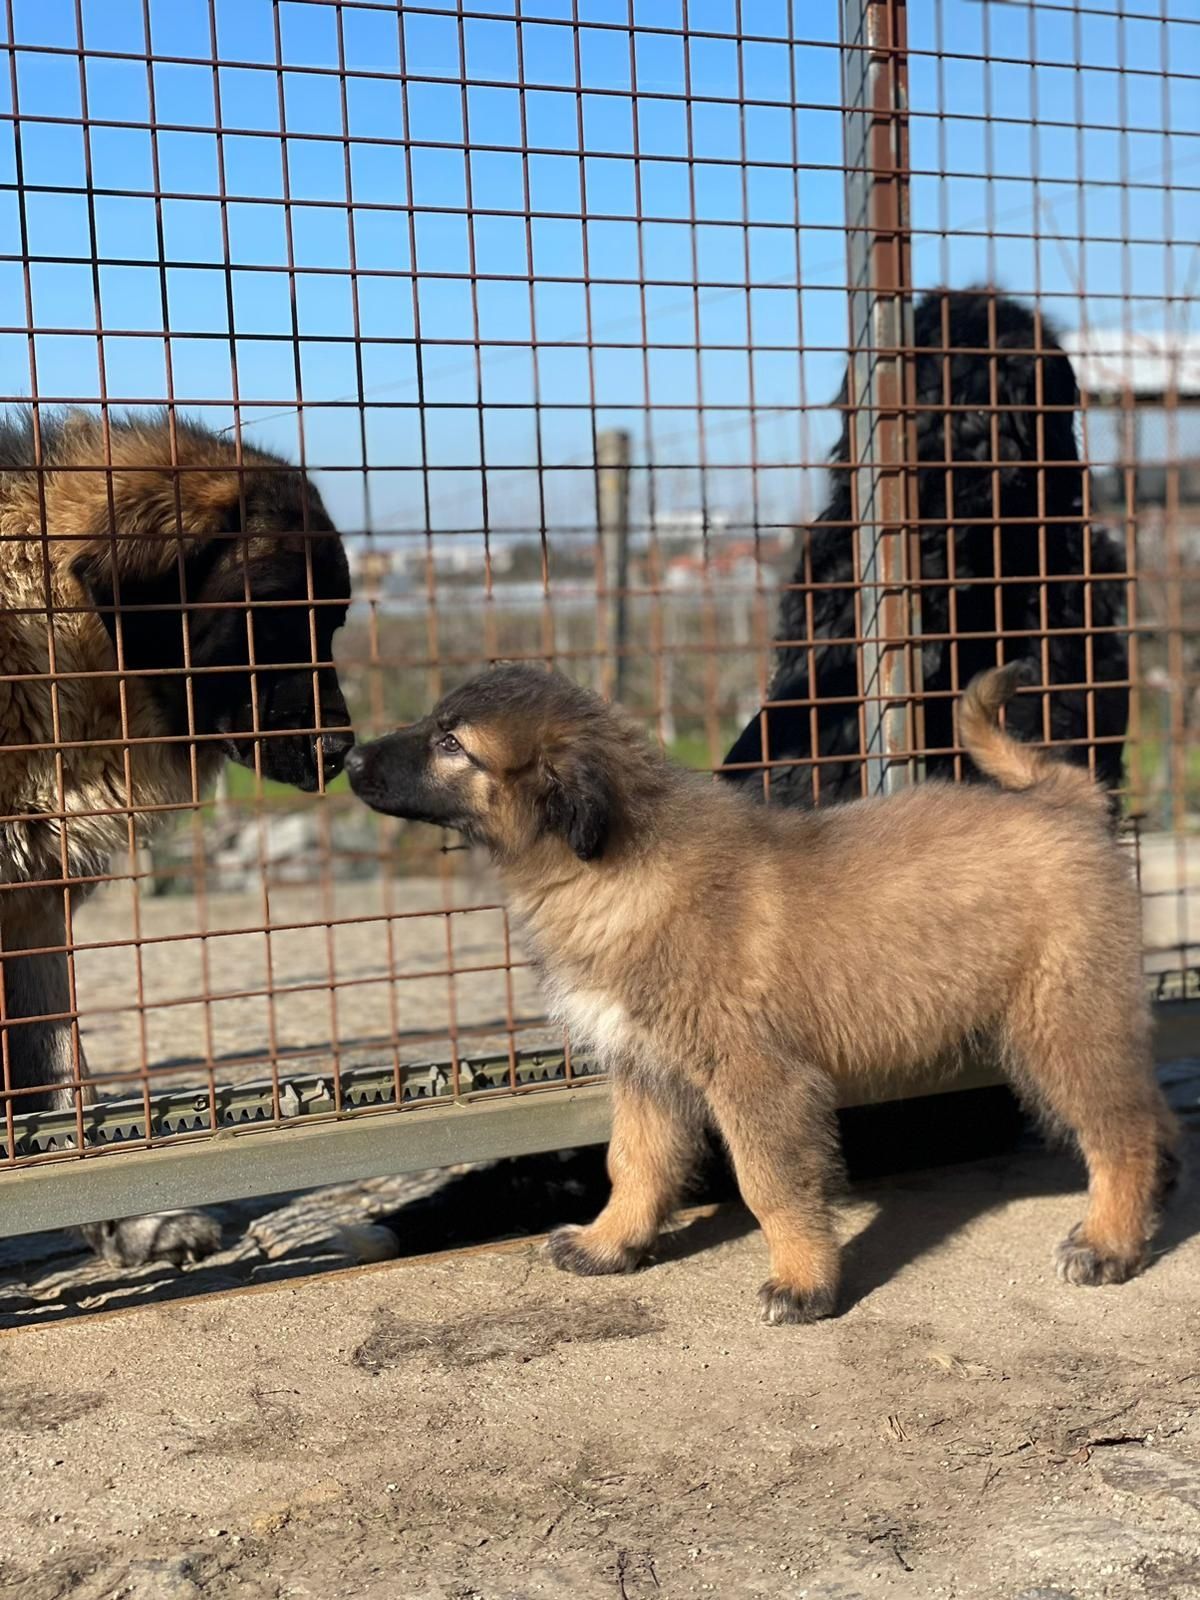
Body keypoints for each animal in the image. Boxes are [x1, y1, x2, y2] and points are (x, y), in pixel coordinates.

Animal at [1, 409, 352, 1260]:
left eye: (334, 622)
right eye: (271, 621)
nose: (342, 749)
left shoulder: (31, 915)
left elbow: (65, 1079)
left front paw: (136, 1219)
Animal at [345, 662, 1177, 1324]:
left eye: (453, 744)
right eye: (432, 722)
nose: (347, 755)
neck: (613, 869)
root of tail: (1061, 797)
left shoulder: (758, 1077)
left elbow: (769, 1185)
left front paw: (805, 1284)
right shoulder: (646, 1065)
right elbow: (633, 1162)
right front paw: (611, 1243)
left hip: (1064, 1021)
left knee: (1122, 1130)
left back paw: (1110, 1241)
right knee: (1149, 1115)